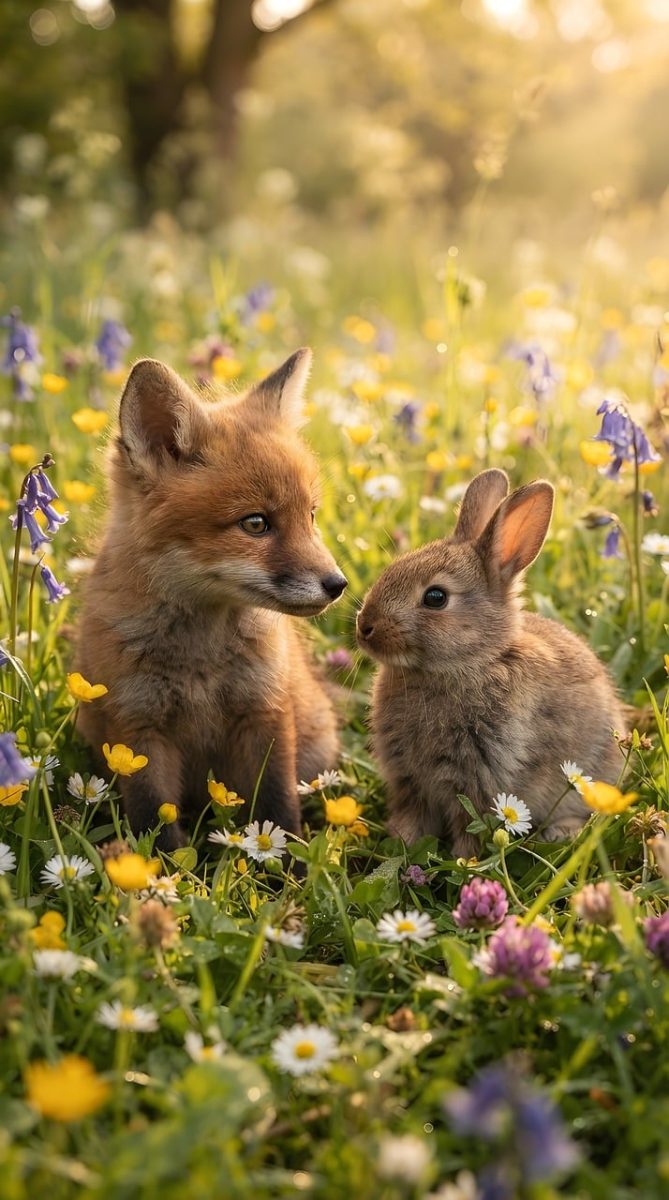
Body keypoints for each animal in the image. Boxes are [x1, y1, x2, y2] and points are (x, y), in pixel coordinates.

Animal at [75, 348, 347, 850]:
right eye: (256, 524)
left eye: (311, 515)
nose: (338, 584)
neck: (199, 662)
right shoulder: (137, 729)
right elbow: (155, 823)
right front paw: (155, 871)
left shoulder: (265, 713)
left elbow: (278, 809)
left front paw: (286, 868)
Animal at [356, 468, 625, 857]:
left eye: (435, 597)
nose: (364, 627)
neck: (469, 663)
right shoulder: (408, 778)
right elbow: (413, 817)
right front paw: (400, 846)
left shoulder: (480, 777)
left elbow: (471, 826)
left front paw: (463, 863)